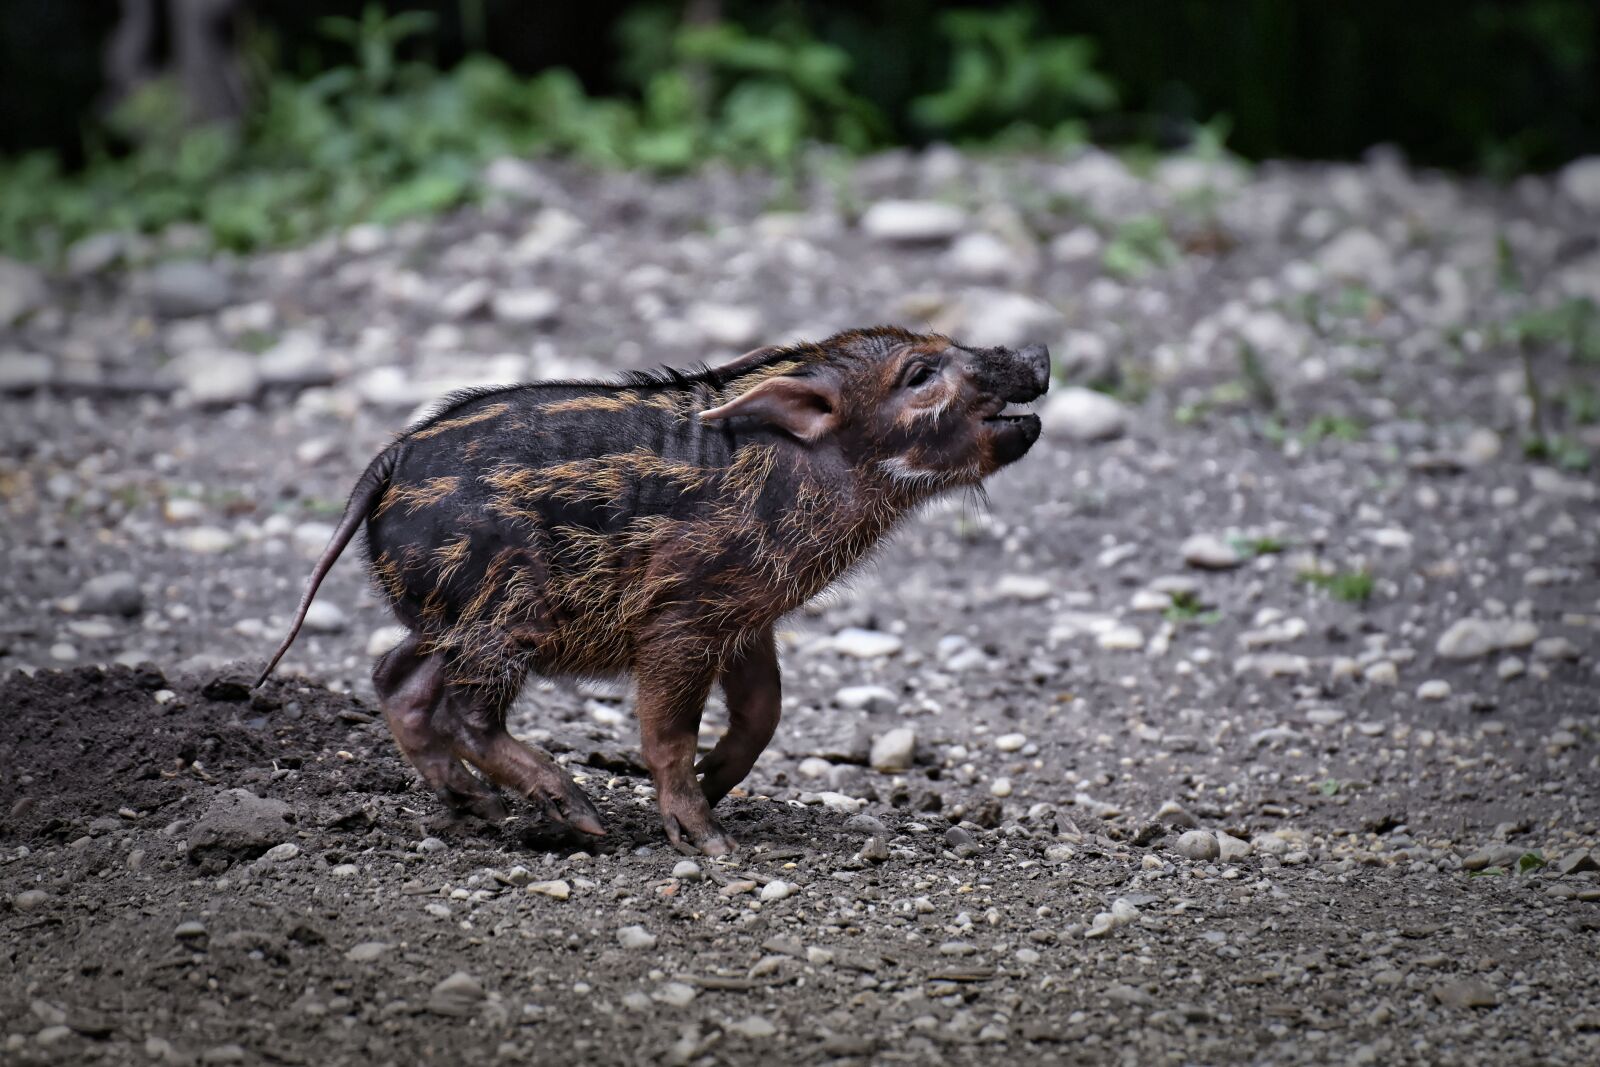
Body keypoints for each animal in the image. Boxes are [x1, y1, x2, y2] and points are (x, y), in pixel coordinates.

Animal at [256, 326, 1049, 854]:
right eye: (919, 373)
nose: (1040, 355)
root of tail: (389, 458)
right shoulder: (679, 618)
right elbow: (666, 730)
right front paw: (711, 842)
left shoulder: (746, 616)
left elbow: (764, 710)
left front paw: (717, 781)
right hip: (500, 612)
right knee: (463, 710)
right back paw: (578, 813)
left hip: (446, 618)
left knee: (395, 676)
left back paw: (478, 806)